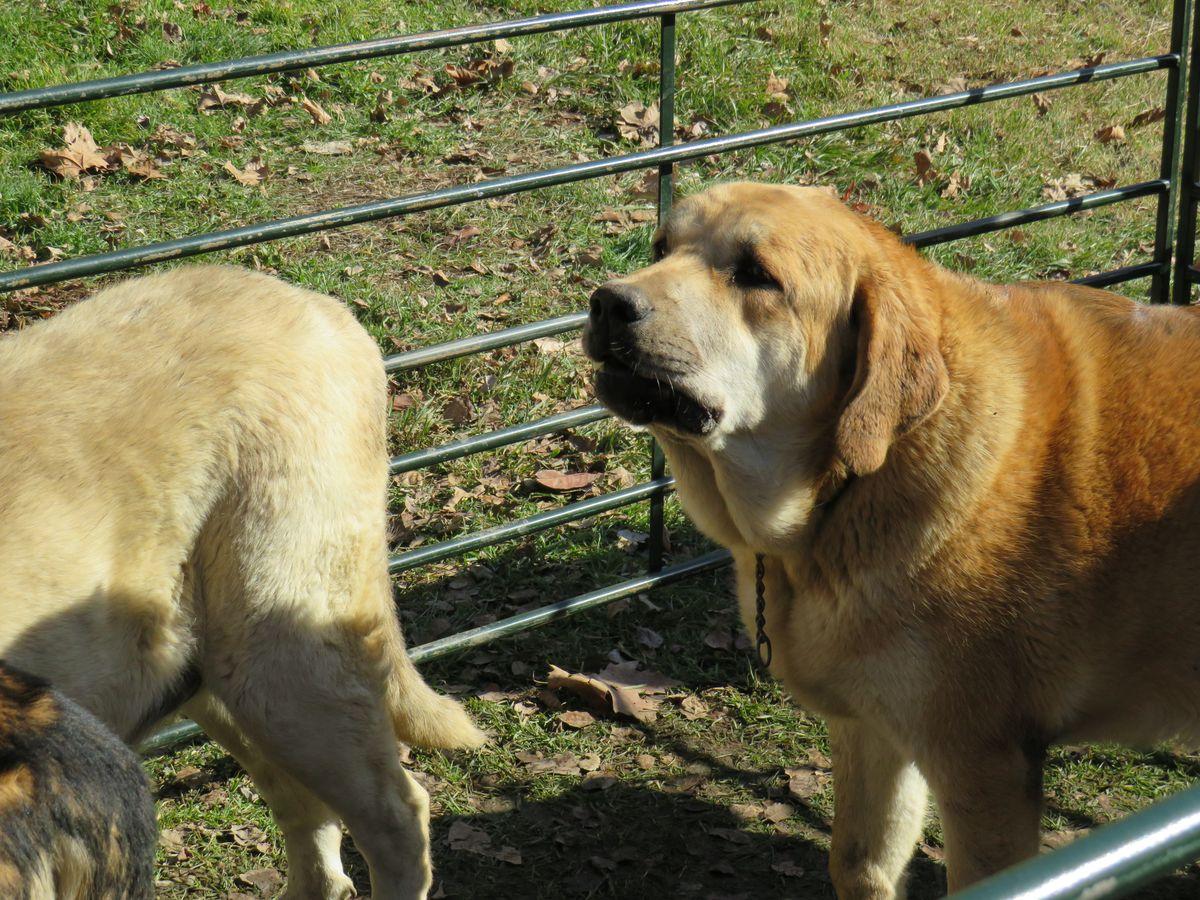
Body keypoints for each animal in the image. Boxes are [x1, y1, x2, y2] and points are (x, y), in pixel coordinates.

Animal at [583, 181, 1200, 897]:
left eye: (756, 275)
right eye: (661, 247)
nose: (609, 301)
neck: (853, 488)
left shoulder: (980, 763)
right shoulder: (871, 727)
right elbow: (862, 861)